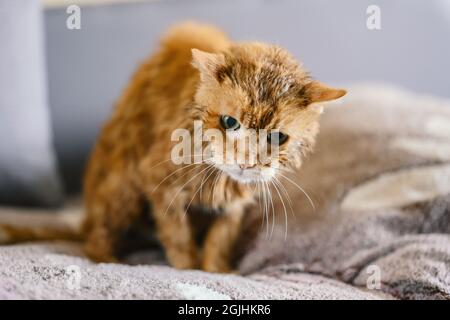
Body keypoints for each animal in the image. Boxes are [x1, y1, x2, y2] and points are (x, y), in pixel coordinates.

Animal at [0, 21, 346, 272]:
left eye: (277, 138)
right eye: (229, 122)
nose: (247, 162)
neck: (216, 177)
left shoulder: (235, 206)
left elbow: (220, 240)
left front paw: (216, 271)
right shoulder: (159, 186)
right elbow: (177, 235)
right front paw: (187, 268)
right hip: (121, 188)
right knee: (96, 237)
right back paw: (109, 260)